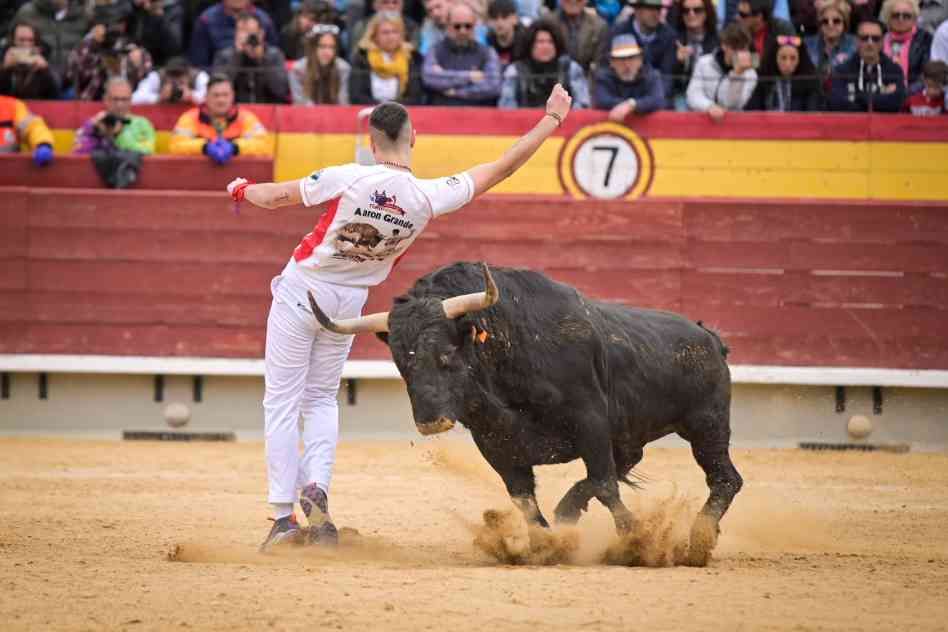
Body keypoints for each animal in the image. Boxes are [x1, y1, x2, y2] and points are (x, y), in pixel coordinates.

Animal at [310, 262, 740, 564]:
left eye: (446, 355)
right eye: (402, 363)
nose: (432, 422)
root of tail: (708, 337)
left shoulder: (590, 422)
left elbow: (604, 483)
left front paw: (635, 541)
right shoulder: (496, 443)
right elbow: (524, 498)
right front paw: (546, 545)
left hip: (706, 426)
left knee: (725, 479)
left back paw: (697, 544)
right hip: (639, 435)